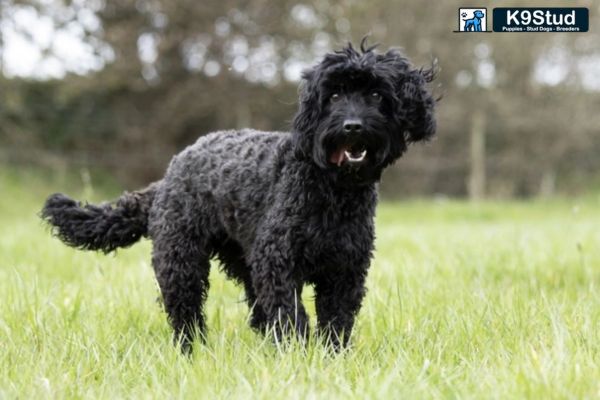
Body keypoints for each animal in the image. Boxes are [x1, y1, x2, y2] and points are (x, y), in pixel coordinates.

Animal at [42, 40, 436, 352]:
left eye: (376, 94)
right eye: (335, 94)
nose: (352, 126)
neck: (331, 190)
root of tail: (172, 170)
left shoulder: (345, 270)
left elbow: (336, 321)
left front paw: (331, 356)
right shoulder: (278, 263)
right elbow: (290, 313)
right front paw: (297, 352)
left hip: (243, 261)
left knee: (256, 312)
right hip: (181, 261)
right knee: (185, 311)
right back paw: (192, 350)